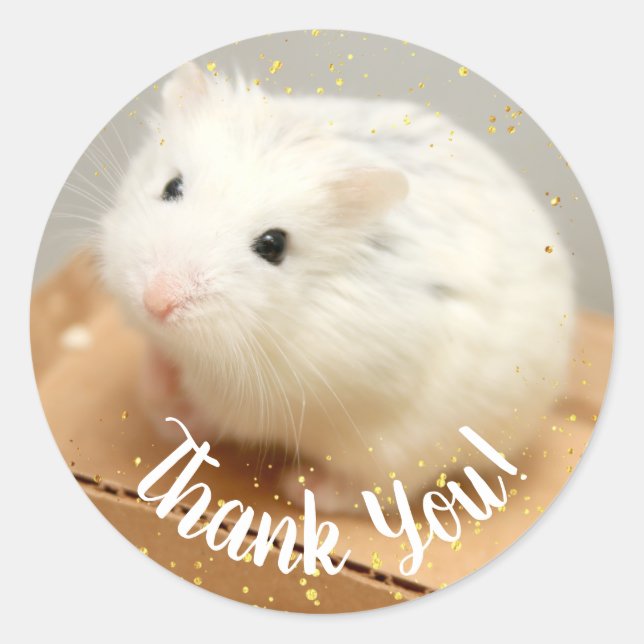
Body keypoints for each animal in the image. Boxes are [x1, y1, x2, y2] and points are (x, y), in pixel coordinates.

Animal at [99, 62, 574, 513]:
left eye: (273, 245)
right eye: (172, 186)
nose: (155, 303)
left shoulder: (264, 397)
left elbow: (211, 410)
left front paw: (174, 414)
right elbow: (159, 359)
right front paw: (157, 383)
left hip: (402, 448)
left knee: (378, 493)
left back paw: (302, 486)